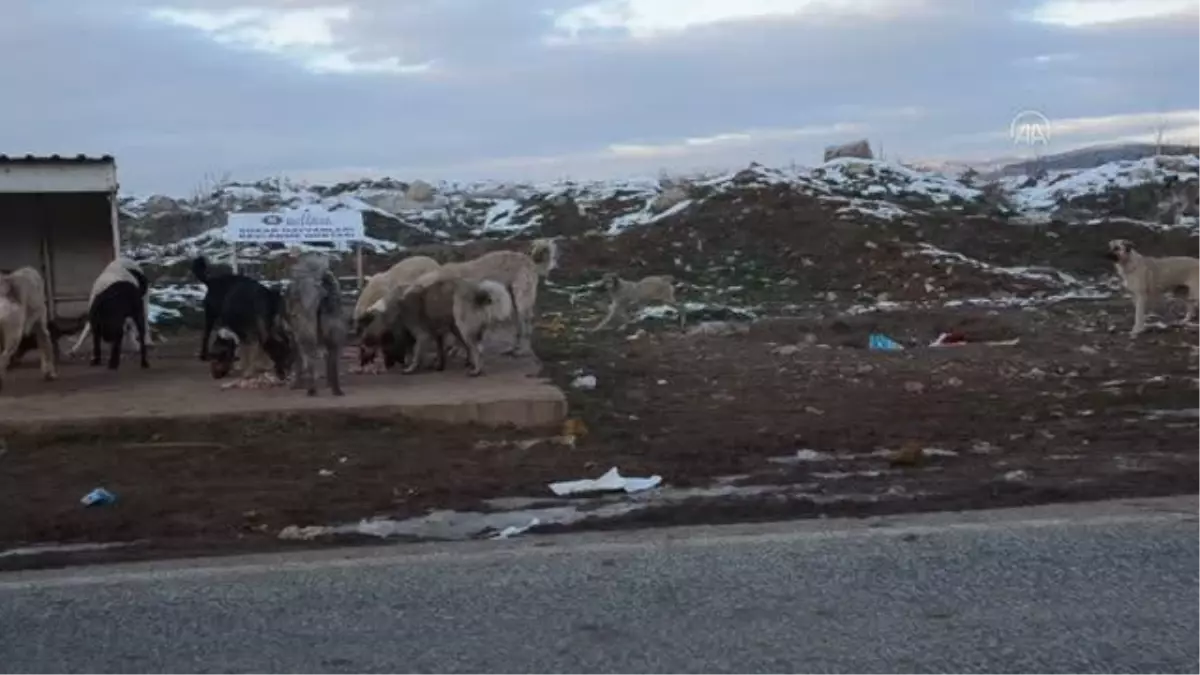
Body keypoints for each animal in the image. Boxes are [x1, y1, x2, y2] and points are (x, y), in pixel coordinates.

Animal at [284, 254, 348, 396]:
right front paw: (328, 384)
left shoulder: (296, 341)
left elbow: (299, 365)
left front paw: (296, 384)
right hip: (335, 336)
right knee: (333, 362)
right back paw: (336, 390)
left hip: (307, 338)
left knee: (311, 363)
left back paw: (312, 390)